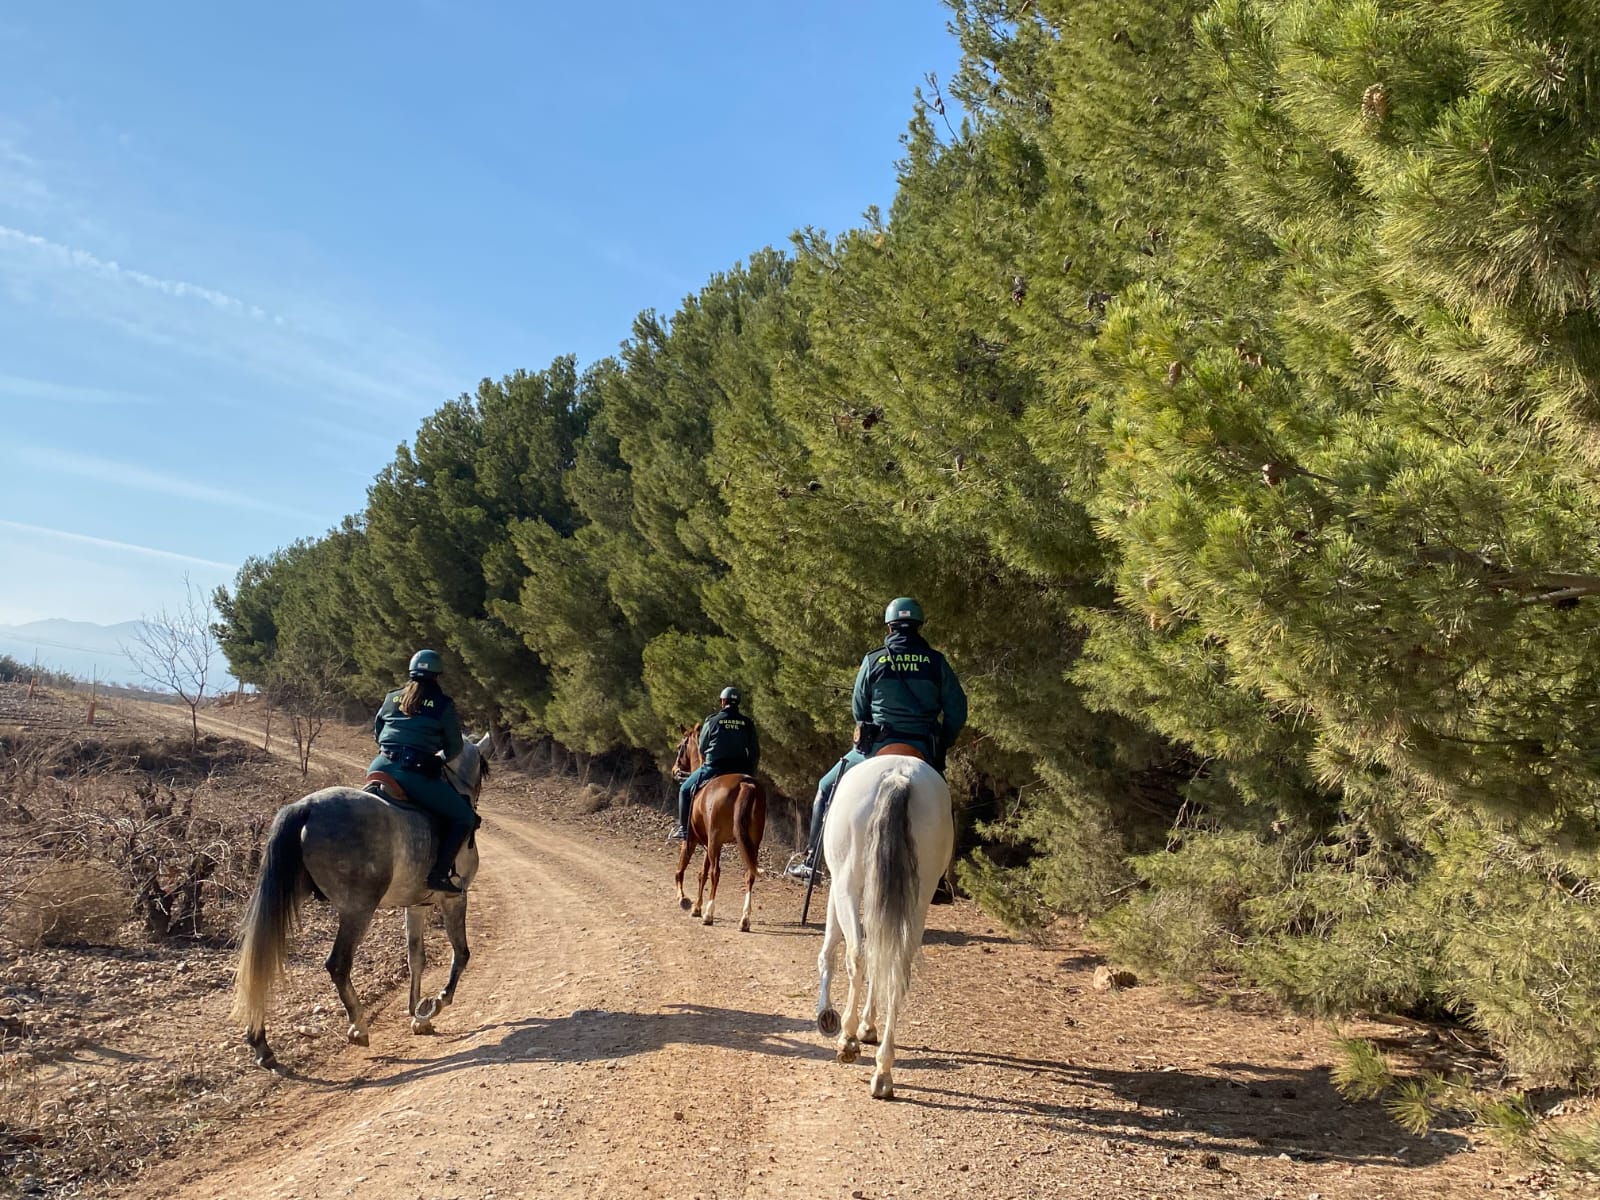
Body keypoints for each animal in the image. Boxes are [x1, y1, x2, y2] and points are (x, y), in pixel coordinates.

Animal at [232, 732, 489, 1068]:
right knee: (338, 964)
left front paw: (417, 1014)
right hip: (357, 910)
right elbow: (461, 954)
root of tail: (307, 806)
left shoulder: (416, 906)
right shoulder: (453, 900)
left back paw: (261, 1044)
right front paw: (435, 1004)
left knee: (262, 960)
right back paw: (359, 1026)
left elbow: (416, 958)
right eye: (484, 768)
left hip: (287, 898)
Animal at [668, 729, 768, 934]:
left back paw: (709, 914)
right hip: (751, 843)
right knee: (749, 874)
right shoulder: (708, 846)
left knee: (716, 872)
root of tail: (745, 784)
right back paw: (744, 920)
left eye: (680, 746)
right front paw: (696, 907)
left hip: (716, 840)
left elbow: (681, 869)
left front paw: (683, 899)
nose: (675, 770)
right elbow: (702, 874)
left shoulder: (692, 841)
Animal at [812, 755, 947, 1107]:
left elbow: (831, 951)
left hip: (847, 886)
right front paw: (868, 1025)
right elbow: (878, 959)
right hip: (917, 902)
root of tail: (899, 775)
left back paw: (847, 1038)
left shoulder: (836, 889)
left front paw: (828, 1016)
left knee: (856, 956)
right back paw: (883, 1072)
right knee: (897, 969)